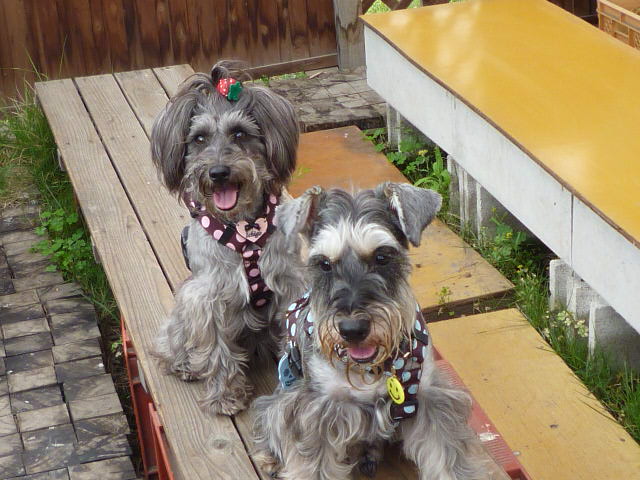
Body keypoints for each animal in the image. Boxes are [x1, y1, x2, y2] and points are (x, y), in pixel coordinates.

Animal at [150, 61, 306, 415]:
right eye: (199, 138)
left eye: (239, 133)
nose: (218, 172)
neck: (245, 229)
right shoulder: (206, 297)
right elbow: (216, 351)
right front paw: (225, 395)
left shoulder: (290, 286)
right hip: (181, 312)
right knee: (170, 344)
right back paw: (184, 365)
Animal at [252, 183, 488, 479]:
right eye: (324, 264)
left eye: (382, 257)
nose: (352, 329)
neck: (371, 369)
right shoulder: (314, 410)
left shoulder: (431, 398)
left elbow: (450, 459)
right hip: (282, 400)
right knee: (268, 417)